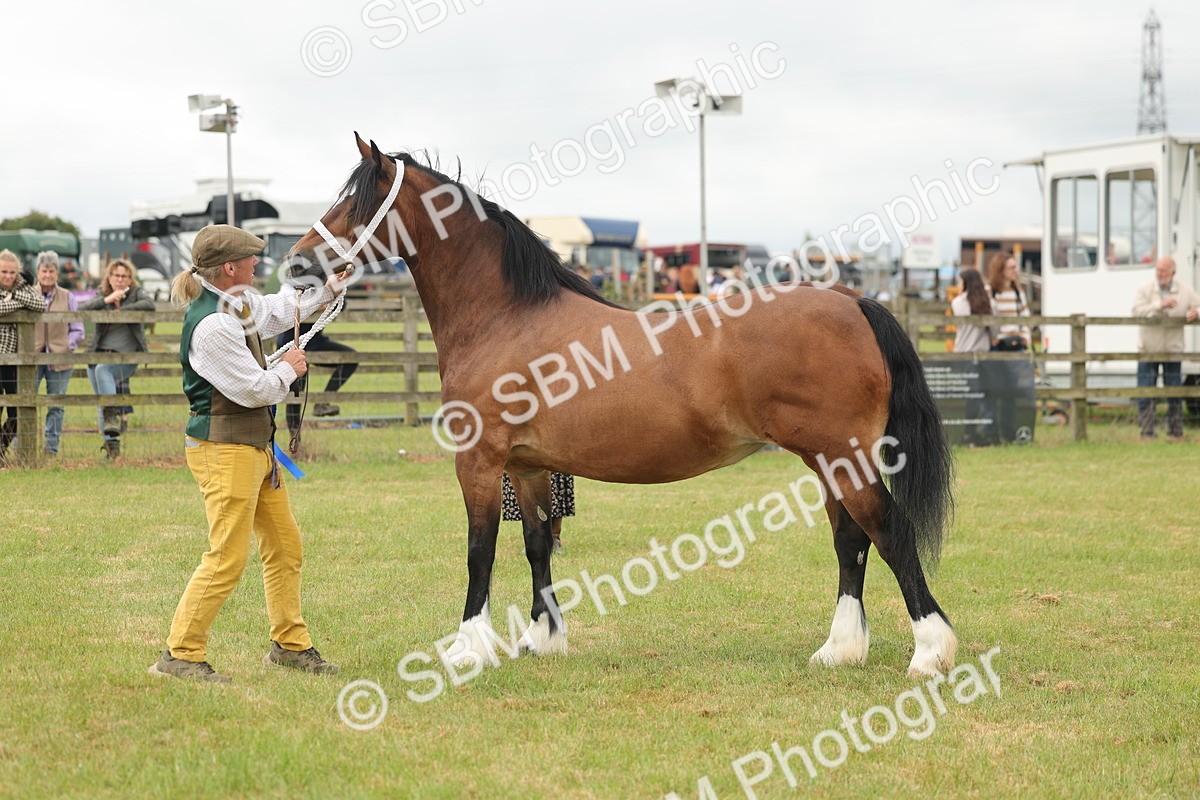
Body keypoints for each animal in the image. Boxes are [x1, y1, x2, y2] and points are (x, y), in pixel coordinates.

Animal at [285, 134, 958, 678]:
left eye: (357, 201)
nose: (295, 262)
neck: (506, 317)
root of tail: (851, 299)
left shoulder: (478, 461)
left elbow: (480, 551)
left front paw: (467, 648)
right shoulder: (526, 466)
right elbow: (535, 545)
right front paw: (542, 639)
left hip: (843, 458)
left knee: (889, 532)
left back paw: (930, 652)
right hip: (829, 463)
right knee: (851, 541)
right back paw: (840, 650)